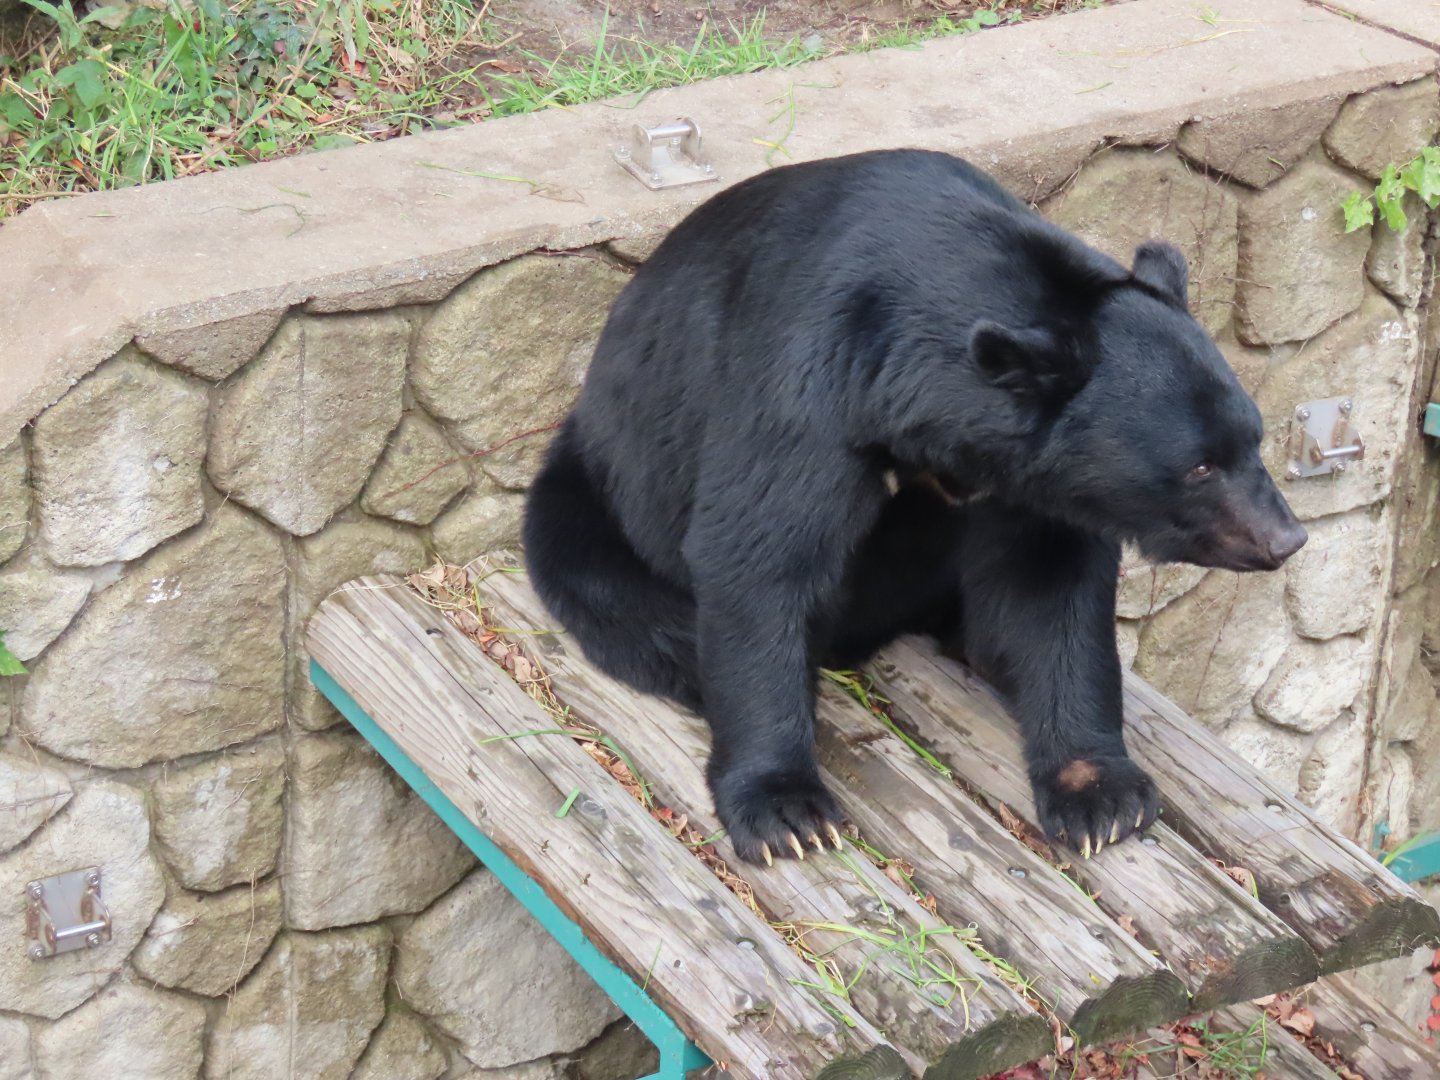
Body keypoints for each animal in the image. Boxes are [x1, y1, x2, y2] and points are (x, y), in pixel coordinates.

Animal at [523, 148, 1306, 865]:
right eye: (1200, 467)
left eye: (1254, 440)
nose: (1285, 539)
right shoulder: (808, 382)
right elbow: (760, 553)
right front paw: (787, 812)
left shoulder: (1029, 480)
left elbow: (1051, 592)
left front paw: (1101, 797)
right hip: (592, 499)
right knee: (638, 609)